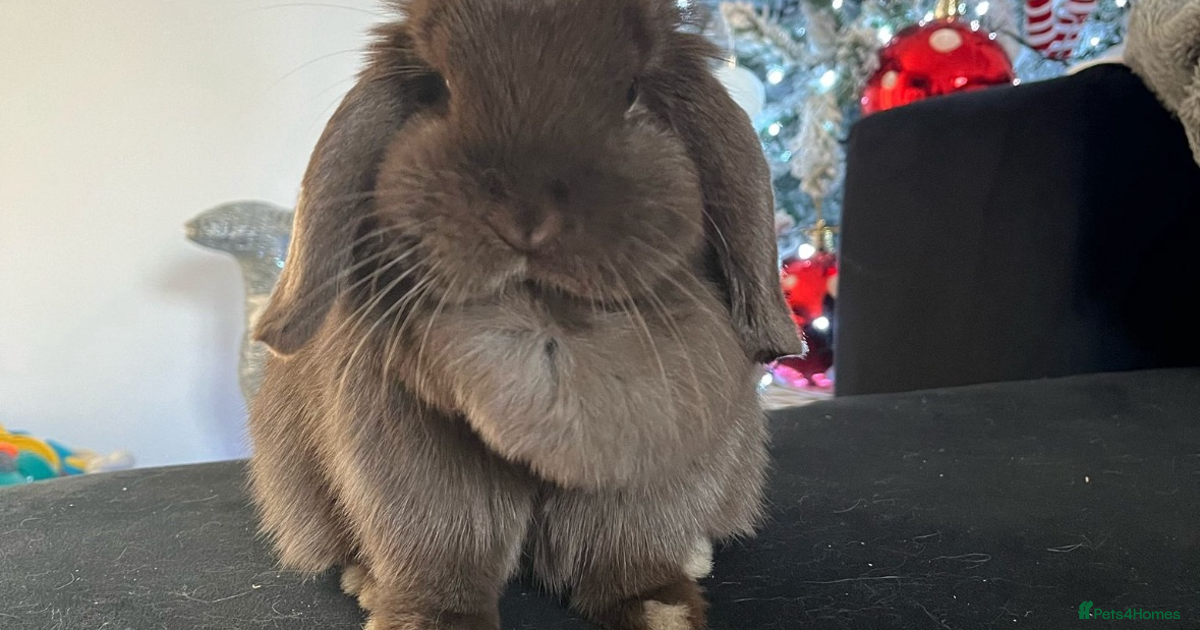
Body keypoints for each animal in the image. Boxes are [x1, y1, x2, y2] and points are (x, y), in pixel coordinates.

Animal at [246, 1, 803, 629]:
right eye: (436, 87)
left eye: (632, 91)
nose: (525, 217)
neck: (547, 326)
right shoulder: (412, 467)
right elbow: (442, 545)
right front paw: (431, 621)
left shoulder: (657, 465)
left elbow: (629, 549)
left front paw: (660, 611)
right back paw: (365, 581)